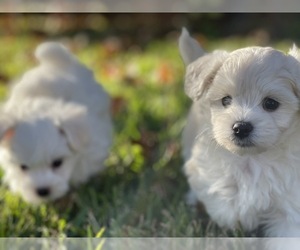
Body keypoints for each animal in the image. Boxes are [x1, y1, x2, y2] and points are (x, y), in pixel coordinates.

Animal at [179, 28, 300, 237]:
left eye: (271, 103)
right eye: (226, 100)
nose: (241, 127)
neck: (252, 159)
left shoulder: (290, 202)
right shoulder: (206, 167)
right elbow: (224, 200)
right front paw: (244, 215)